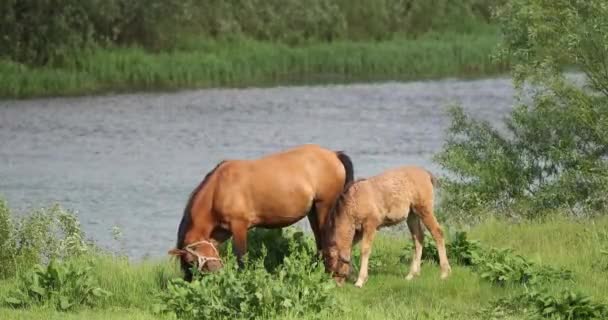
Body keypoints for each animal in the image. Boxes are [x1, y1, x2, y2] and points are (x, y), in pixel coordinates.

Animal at [169, 144, 354, 282]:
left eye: (191, 260)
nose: (216, 272)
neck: (218, 189)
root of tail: (334, 154)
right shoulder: (219, 233)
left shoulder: (239, 226)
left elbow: (242, 257)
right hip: (313, 211)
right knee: (319, 239)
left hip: (324, 206)